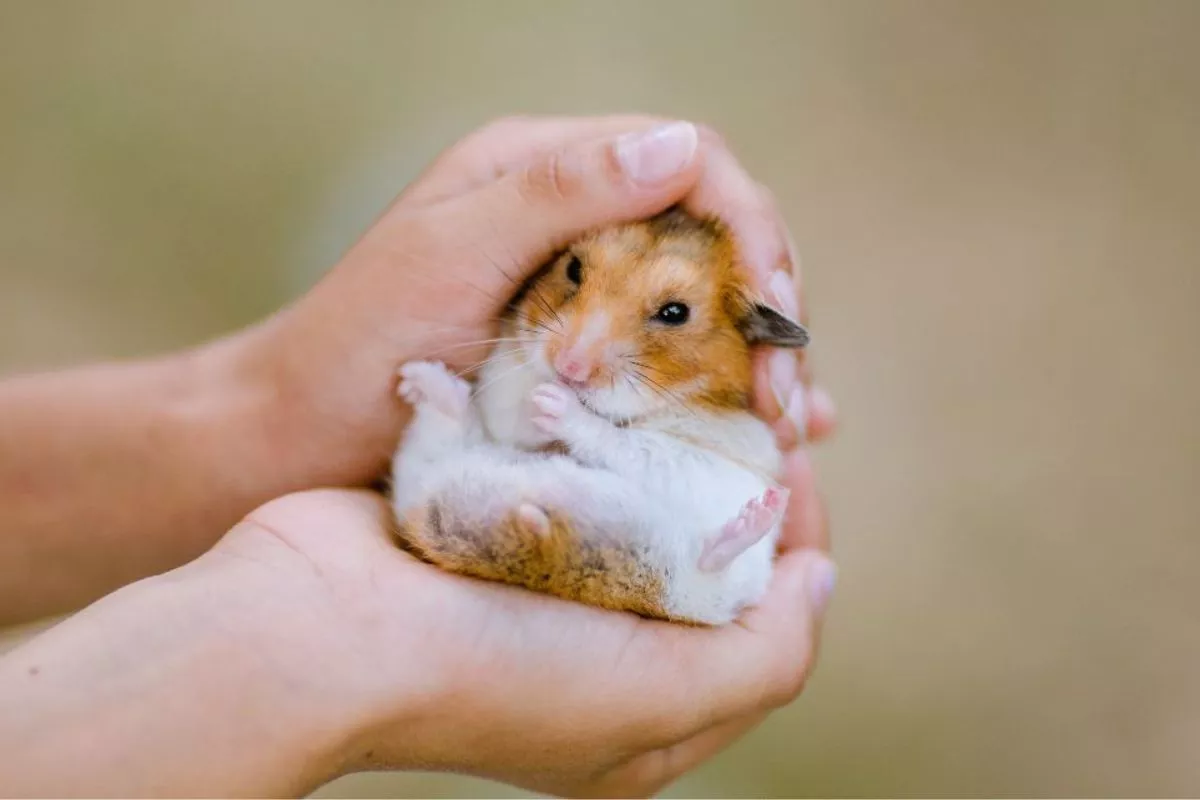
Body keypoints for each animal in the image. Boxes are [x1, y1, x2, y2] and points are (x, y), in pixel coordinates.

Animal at [388, 207, 809, 625]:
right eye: (573, 268)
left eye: (675, 313)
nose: (567, 368)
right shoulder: (502, 389)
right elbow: (514, 411)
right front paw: (539, 397)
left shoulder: (709, 457)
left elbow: (626, 442)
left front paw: (552, 403)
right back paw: (421, 381)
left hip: (709, 585)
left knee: (711, 563)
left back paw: (760, 513)